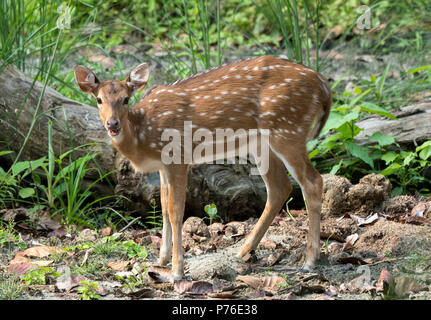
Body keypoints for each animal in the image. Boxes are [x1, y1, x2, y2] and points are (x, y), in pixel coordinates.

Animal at [74, 56, 332, 282]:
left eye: (126, 99)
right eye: (98, 99)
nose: (113, 124)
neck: (143, 136)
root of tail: (322, 83)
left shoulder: (178, 156)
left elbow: (176, 210)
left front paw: (176, 272)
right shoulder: (163, 167)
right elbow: (163, 207)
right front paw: (161, 259)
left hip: (287, 130)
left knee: (313, 181)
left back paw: (309, 261)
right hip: (262, 143)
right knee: (280, 188)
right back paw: (243, 251)